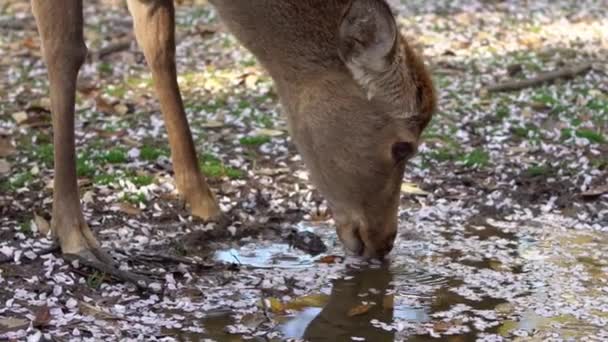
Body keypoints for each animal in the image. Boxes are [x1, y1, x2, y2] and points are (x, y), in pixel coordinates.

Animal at [30, 0, 434, 284]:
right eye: (402, 147)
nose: (384, 241)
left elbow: (160, 43)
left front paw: (203, 202)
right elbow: (65, 50)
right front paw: (76, 237)